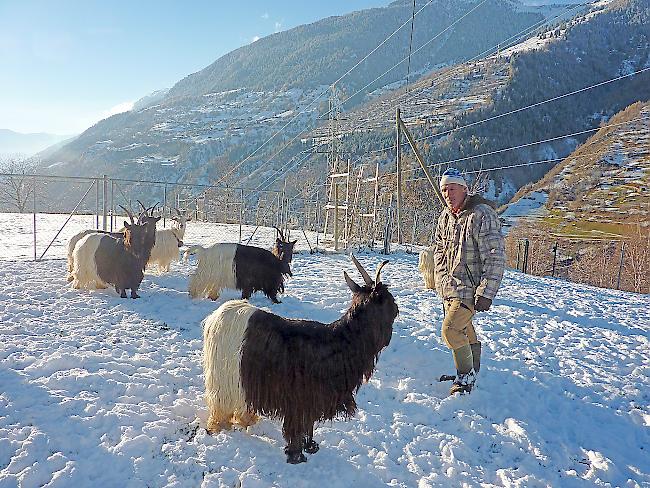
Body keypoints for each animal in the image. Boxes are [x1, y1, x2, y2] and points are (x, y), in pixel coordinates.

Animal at [202, 255, 398, 466]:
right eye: (387, 301)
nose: (397, 309)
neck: (342, 341)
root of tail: (216, 317)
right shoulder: (299, 398)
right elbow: (297, 426)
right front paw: (296, 455)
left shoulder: (311, 400)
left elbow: (309, 424)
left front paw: (310, 446)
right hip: (224, 376)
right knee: (219, 402)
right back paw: (217, 426)